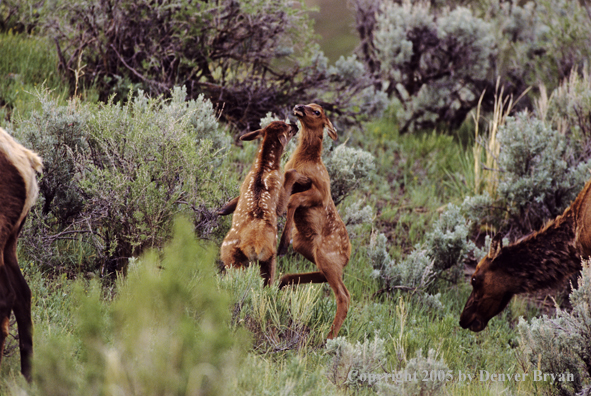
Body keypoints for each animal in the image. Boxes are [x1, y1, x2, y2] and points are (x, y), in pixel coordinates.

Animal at [219, 120, 310, 284]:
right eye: (287, 128)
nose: (295, 125)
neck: (263, 168)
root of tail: (256, 245)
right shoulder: (278, 195)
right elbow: (290, 172)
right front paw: (305, 179)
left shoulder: (244, 183)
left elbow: (237, 197)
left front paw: (223, 209)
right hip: (263, 257)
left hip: (243, 259)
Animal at [278, 103, 352, 340]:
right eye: (310, 104)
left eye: (317, 111)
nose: (298, 107)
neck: (306, 161)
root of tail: (347, 256)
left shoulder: (320, 192)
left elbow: (293, 200)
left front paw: (282, 243)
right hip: (310, 250)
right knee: (326, 279)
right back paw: (282, 282)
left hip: (326, 256)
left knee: (344, 296)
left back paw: (329, 339)